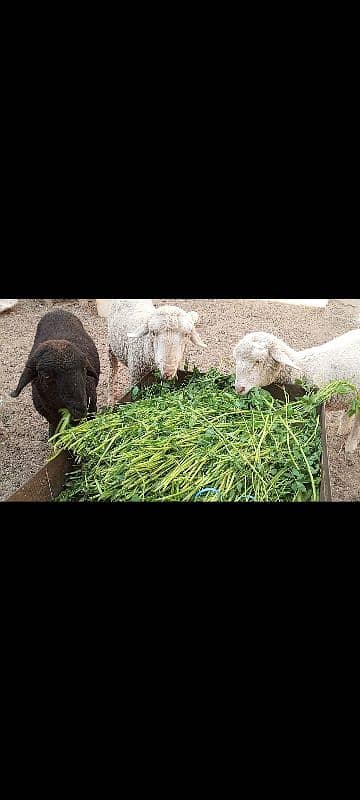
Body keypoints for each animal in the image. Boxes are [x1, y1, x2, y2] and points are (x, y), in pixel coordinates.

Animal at [232, 332, 360, 454]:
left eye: (258, 361)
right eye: (236, 359)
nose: (238, 388)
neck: (301, 369)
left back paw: (350, 445)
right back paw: (342, 428)